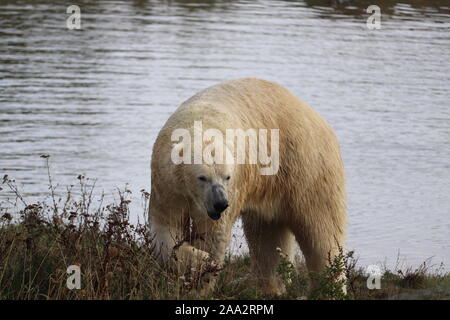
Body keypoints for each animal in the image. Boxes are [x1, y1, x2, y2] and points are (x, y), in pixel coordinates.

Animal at [149, 77, 346, 296]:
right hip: (274, 184)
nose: (220, 203)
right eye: (202, 178)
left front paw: (203, 275)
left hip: (306, 168)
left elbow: (212, 236)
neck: (198, 124)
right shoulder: (168, 186)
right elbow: (166, 227)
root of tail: (319, 120)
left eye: (227, 177)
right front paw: (198, 262)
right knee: (267, 235)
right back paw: (267, 286)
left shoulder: (234, 185)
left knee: (321, 231)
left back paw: (328, 289)